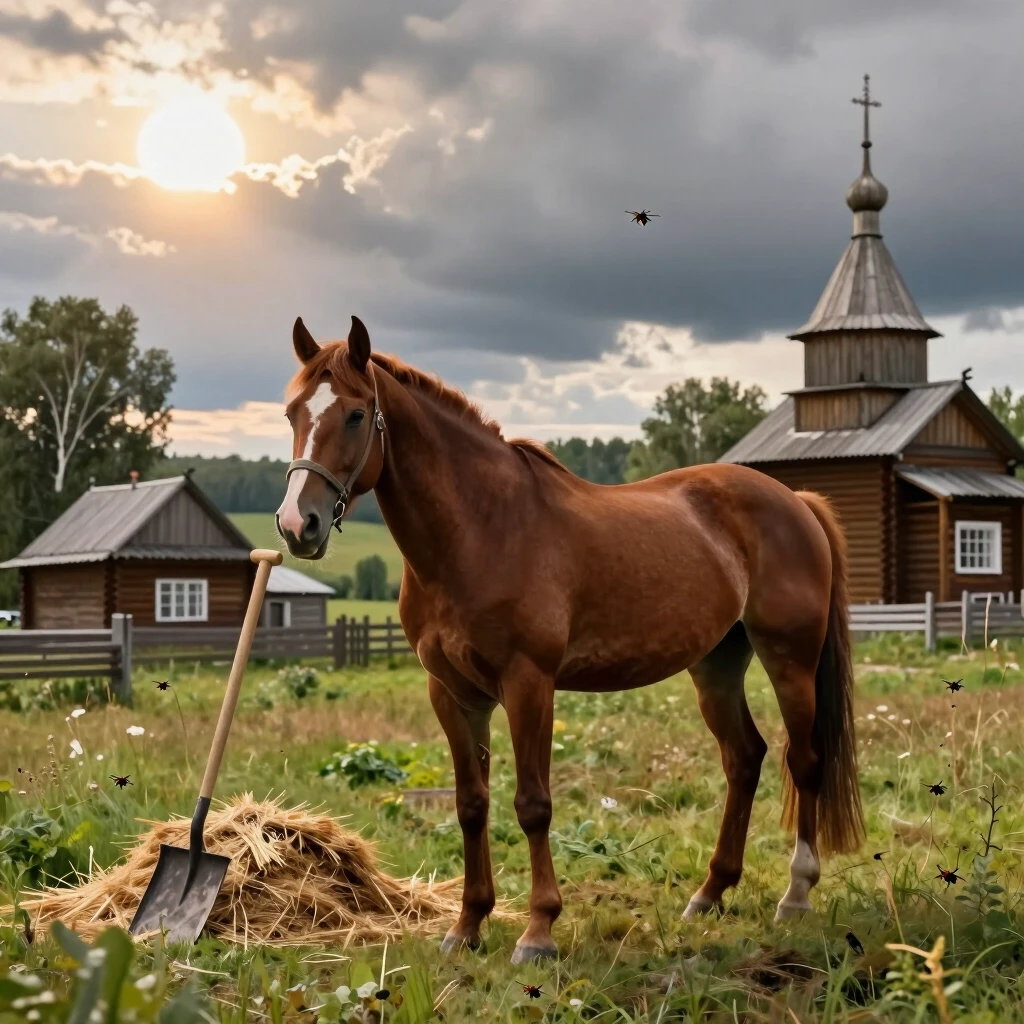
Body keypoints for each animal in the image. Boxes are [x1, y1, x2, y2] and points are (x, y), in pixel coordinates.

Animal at [276, 315, 865, 964]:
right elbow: (471, 804)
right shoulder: (452, 693)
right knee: (744, 758)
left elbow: (533, 806)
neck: (480, 529)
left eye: (356, 414)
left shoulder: (529, 683)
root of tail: (795, 501)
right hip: (716, 666)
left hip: (790, 659)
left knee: (804, 761)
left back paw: (797, 894)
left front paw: (538, 932)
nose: (297, 525)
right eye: (293, 412)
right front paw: (468, 926)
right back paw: (709, 894)